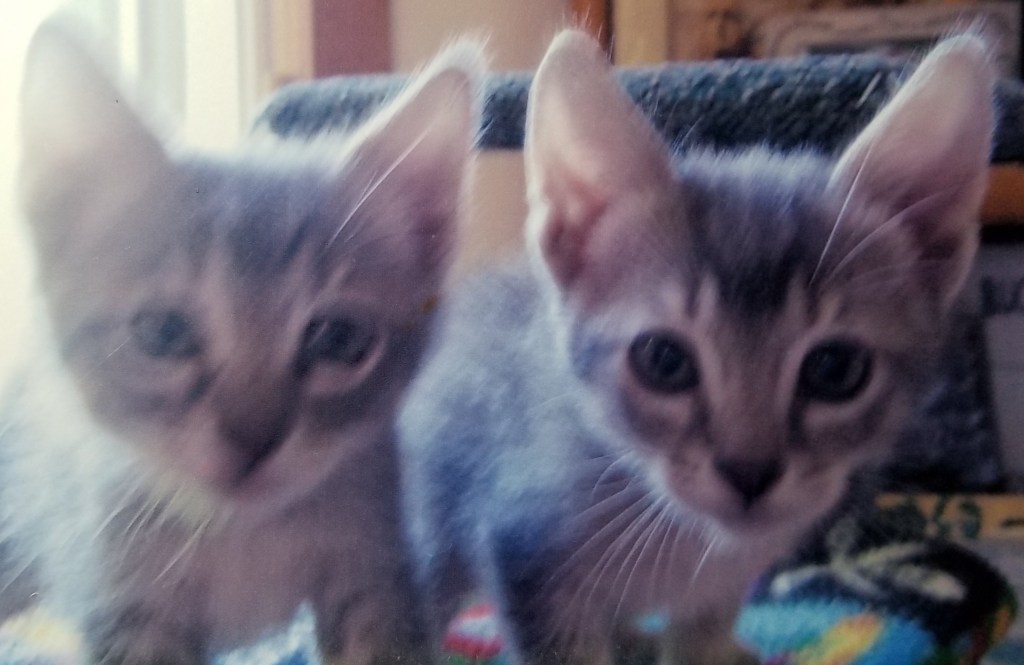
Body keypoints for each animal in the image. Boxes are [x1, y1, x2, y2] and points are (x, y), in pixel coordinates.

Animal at [0, 18, 482, 665]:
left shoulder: (375, 567)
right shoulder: (125, 605)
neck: (242, 536)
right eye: (164, 333)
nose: (254, 441)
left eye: (339, 339)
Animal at [398, 29, 994, 665]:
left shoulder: (720, 590)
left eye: (836, 369)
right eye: (663, 361)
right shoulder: (525, 555)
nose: (749, 474)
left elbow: (701, 636)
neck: (683, 540)